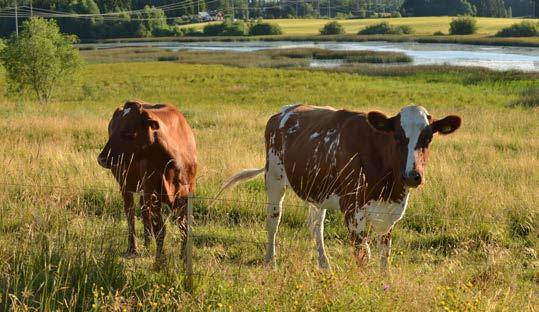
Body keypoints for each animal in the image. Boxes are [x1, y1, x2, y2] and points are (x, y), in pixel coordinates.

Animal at [98, 100, 197, 264]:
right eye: (115, 129)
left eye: (128, 132)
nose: (101, 158)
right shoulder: (154, 193)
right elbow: (160, 230)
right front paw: (159, 262)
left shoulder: (186, 194)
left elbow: (184, 227)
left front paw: (184, 258)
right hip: (125, 184)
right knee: (130, 212)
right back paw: (133, 248)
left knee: (144, 210)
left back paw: (147, 241)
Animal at [217, 103, 462, 272]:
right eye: (398, 137)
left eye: (428, 138)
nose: (413, 176)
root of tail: (285, 110)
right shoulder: (352, 208)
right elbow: (363, 254)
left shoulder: (390, 212)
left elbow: (384, 253)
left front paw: (386, 282)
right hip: (274, 178)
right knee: (273, 221)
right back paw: (271, 262)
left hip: (318, 190)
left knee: (315, 225)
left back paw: (324, 264)